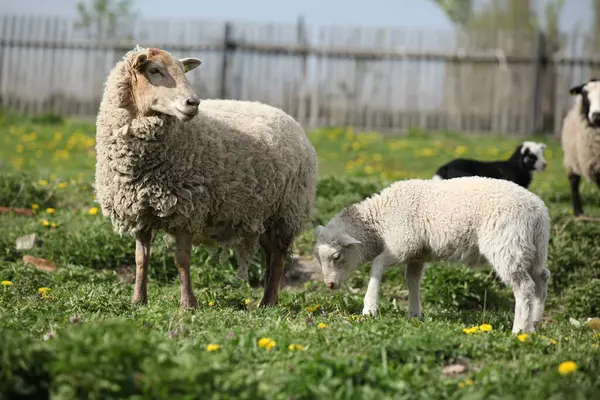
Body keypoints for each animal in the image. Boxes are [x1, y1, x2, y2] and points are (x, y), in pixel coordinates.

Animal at [94, 47, 316, 310]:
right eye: (154, 70)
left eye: (183, 71)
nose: (193, 103)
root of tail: (289, 118)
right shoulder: (139, 211)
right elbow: (140, 259)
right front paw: (138, 300)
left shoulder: (187, 210)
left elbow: (181, 260)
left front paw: (188, 304)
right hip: (263, 213)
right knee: (270, 254)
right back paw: (267, 299)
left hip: (287, 210)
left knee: (279, 256)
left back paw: (268, 302)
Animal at [314, 177, 552, 332]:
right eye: (318, 258)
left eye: (337, 256)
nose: (329, 285)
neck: (380, 222)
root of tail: (538, 211)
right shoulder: (417, 253)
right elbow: (412, 280)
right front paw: (414, 314)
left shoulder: (402, 243)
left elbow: (377, 264)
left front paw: (369, 308)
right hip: (530, 249)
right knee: (541, 279)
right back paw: (534, 324)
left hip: (506, 245)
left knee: (524, 287)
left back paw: (518, 330)